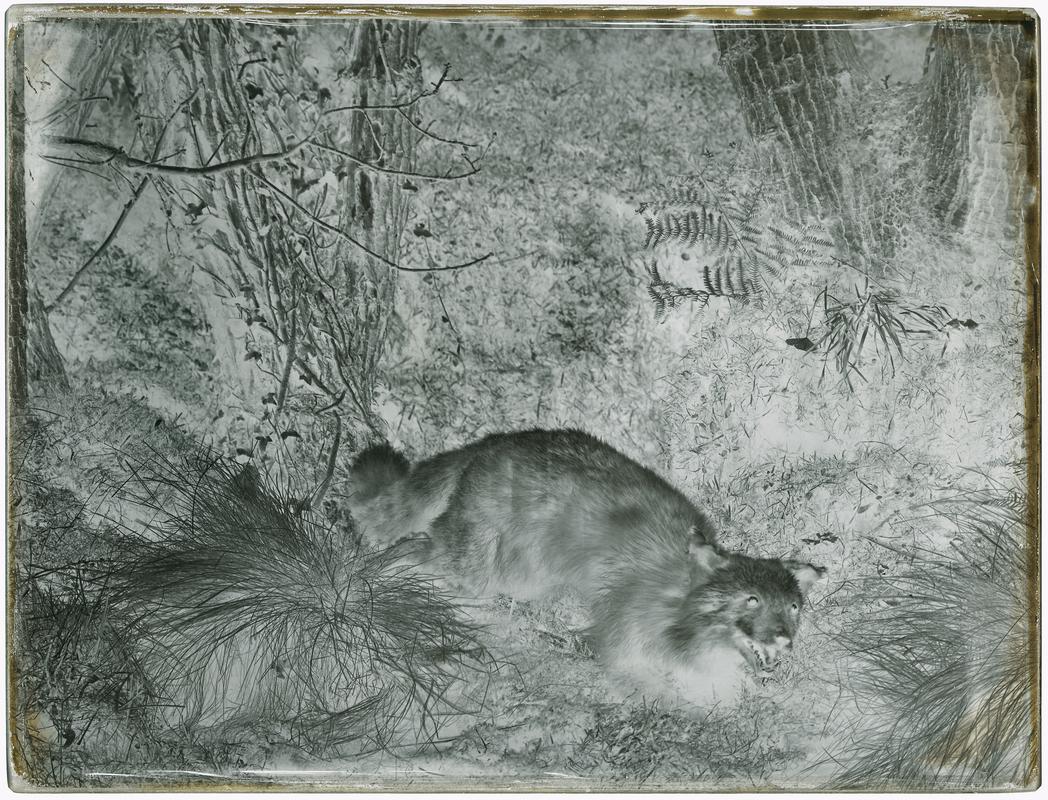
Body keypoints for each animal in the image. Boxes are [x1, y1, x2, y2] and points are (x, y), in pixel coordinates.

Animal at [346, 428, 826, 703]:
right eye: (751, 600)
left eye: (792, 608)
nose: (784, 639)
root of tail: (494, 439)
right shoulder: (619, 646)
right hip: (472, 567)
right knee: (410, 548)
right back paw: (370, 577)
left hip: (520, 576)